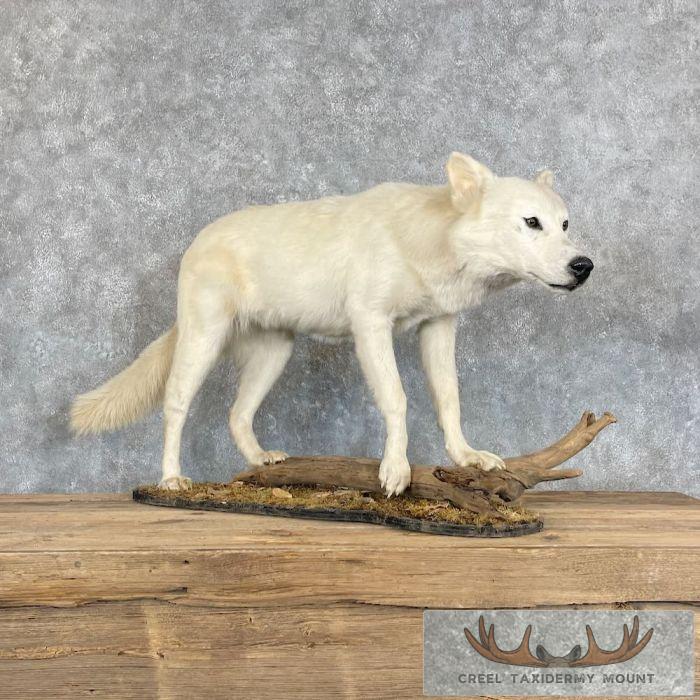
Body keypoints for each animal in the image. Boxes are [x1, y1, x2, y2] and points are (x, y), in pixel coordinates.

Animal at [71, 153, 593, 495]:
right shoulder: (371, 326)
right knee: (175, 407)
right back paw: (171, 479)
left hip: (276, 353)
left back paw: (261, 462)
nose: (584, 266)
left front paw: (468, 458)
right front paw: (396, 471)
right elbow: (398, 400)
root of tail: (198, 240)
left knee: (237, 414)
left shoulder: (439, 327)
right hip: (202, 343)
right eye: (531, 222)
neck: (432, 241)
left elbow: (449, 401)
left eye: (566, 224)